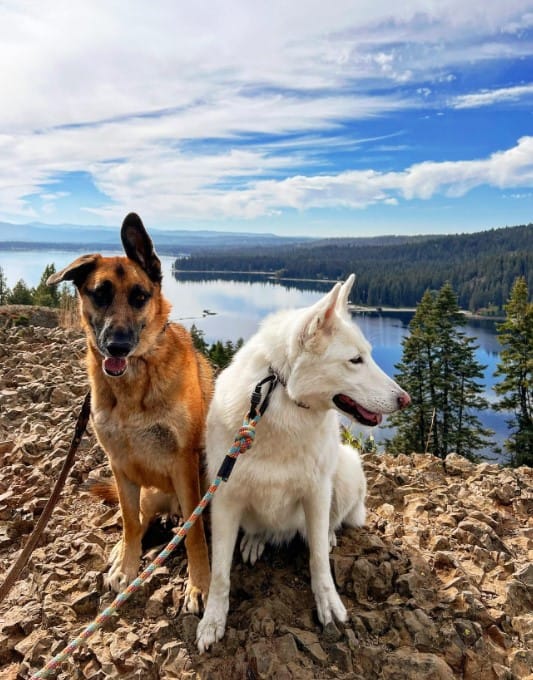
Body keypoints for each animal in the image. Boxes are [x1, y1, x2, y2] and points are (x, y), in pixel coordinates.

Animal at [47, 212, 213, 612]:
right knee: (141, 517)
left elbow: (195, 534)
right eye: (100, 294)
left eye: (139, 297)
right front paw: (126, 565)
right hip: (150, 491)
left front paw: (199, 585)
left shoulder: (184, 464)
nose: (117, 345)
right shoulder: (120, 465)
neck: (135, 383)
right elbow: (128, 520)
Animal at [197, 274, 410, 652]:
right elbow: (220, 573)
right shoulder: (224, 498)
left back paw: (327, 535)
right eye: (355, 360)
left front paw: (328, 602)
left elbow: (319, 562)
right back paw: (256, 540)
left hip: (346, 468)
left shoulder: (316, 492)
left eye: (368, 355)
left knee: (329, 524)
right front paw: (213, 621)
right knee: (261, 530)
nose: (405, 399)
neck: (280, 397)